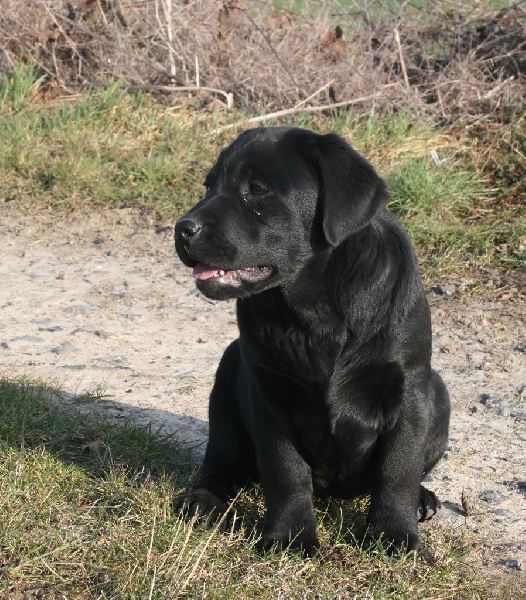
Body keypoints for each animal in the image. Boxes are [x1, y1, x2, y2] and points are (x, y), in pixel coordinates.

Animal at [174, 126, 450, 556]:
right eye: (209, 185)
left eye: (257, 189)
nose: (182, 229)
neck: (318, 308)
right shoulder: (269, 393)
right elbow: (285, 470)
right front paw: (290, 536)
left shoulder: (408, 389)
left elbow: (399, 468)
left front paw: (395, 535)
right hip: (228, 375)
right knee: (222, 462)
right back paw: (202, 500)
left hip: (438, 393)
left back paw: (423, 499)